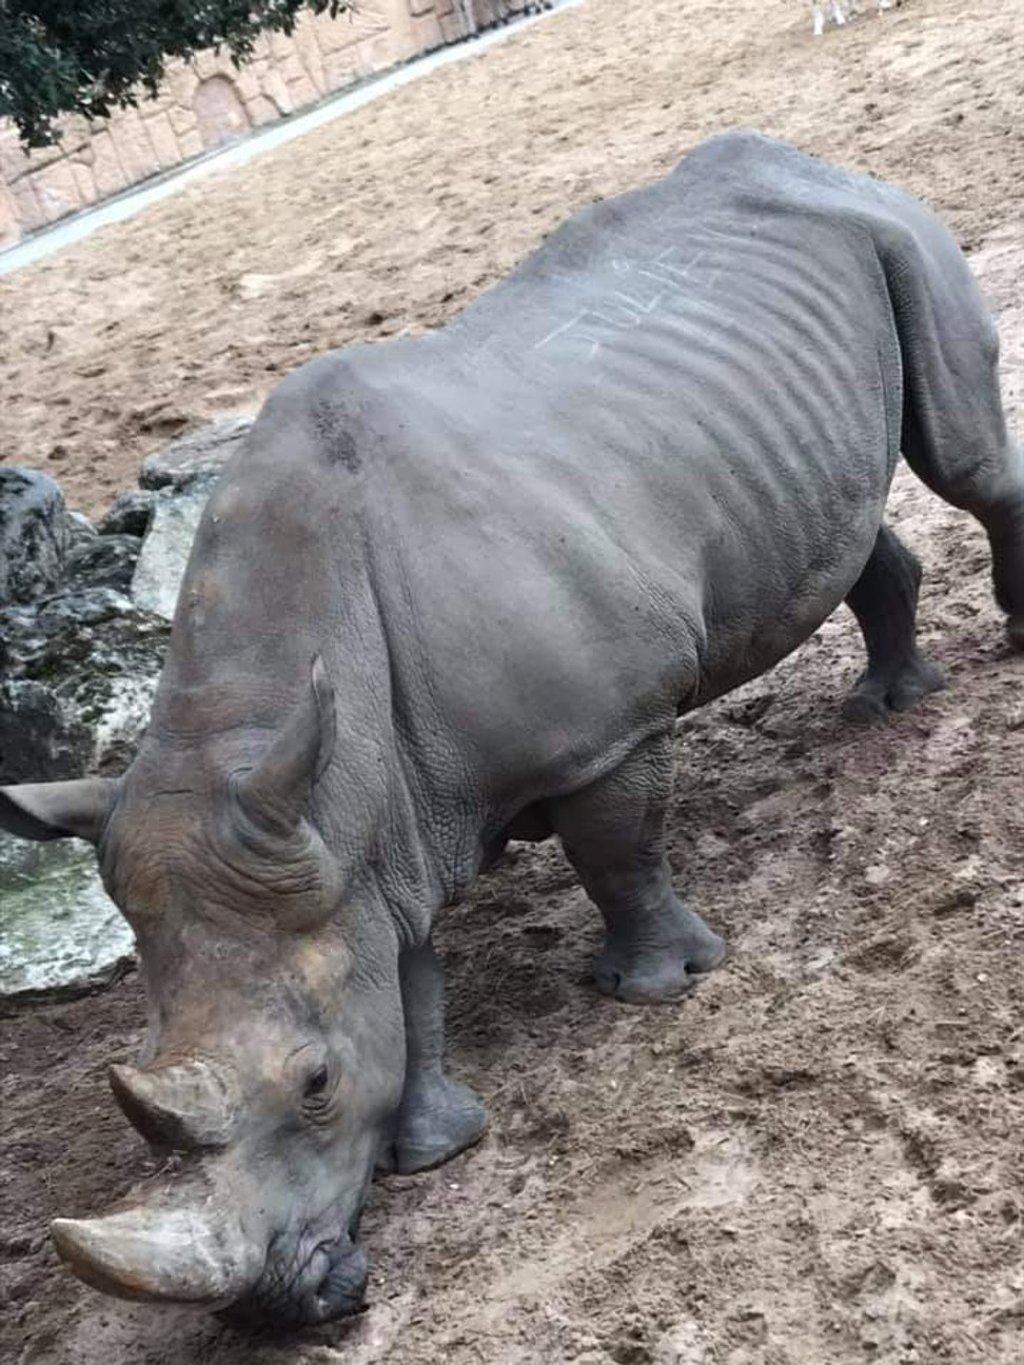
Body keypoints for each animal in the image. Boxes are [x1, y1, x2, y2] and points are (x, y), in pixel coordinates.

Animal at [2, 132, 1021, 1328]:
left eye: (314, 1084)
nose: (276, 1311)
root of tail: (813, 161)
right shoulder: (348, 835)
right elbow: (407, 983)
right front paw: (432, 1152)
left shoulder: (597, 736)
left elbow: (614, 853)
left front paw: (653, 988)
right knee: (838, 520)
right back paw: (888, 705)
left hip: (891, 231)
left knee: (963, 462)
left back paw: (1002, 646)